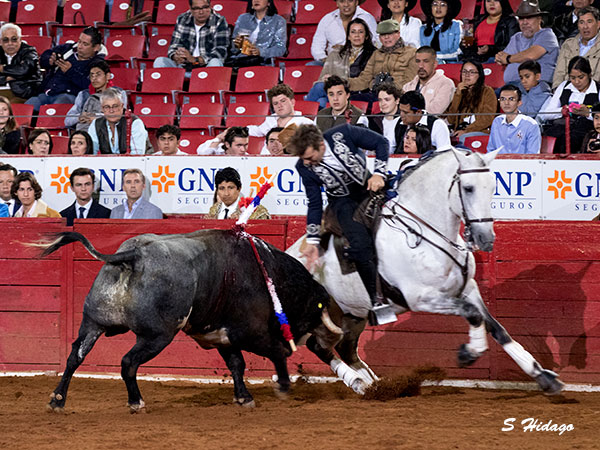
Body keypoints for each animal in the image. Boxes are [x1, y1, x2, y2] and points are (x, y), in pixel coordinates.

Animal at [38, 230, 338, 414]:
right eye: (317, 307)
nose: (325, 342)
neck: (270, 277)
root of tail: (133, 255)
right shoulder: (250, 332)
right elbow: (276, 351)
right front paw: (283, 386)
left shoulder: (222, 337)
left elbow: (237, 365)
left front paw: (244, 398)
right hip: (157, 336)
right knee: (128, 362)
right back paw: (136, 402)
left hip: (93, 323)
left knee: (75, 356)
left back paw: (57, 400)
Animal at [288, 148, 564, 394]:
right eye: (468, 188)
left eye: (493, 186)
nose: (485, 239)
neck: (426, 231)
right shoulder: (421, 298)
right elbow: (472, 314)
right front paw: (468, 353)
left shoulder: (468, 288)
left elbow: (497, 328)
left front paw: (543, 376)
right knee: (318, 346)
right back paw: (358, 383)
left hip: (353, 313)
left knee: (342, 347)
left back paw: (374, 385)